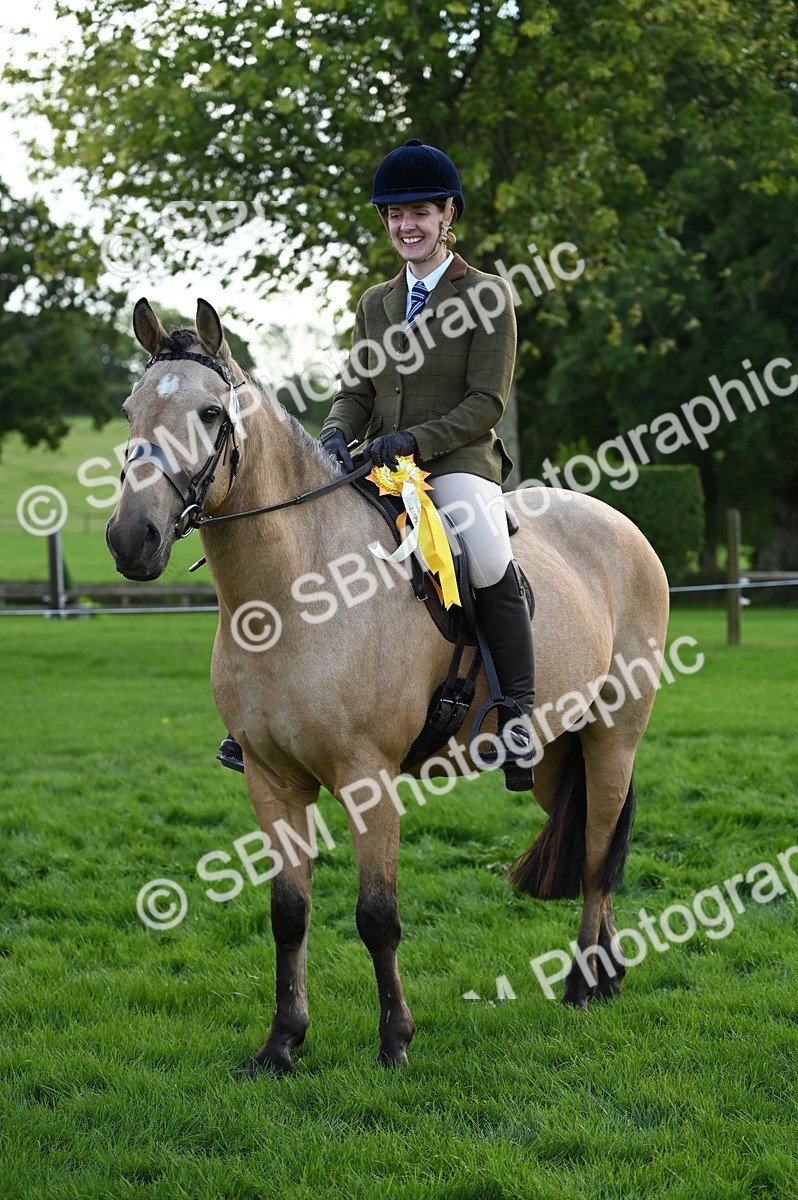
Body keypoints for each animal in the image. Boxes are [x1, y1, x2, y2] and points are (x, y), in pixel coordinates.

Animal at [107, 297, 670, 1074]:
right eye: (130, 409)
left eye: (212, 413)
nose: (131, 539)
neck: (294, 594)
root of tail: (622, 527)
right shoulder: (271, 780)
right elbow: (289, 914)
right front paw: (281, 1045)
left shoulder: (367, 778)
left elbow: (377, 916)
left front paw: (395, 1041)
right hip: (561, 751)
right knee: (591, 836)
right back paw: (607, 977)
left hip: (615, 737)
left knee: (595, 860)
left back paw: (584, 987)